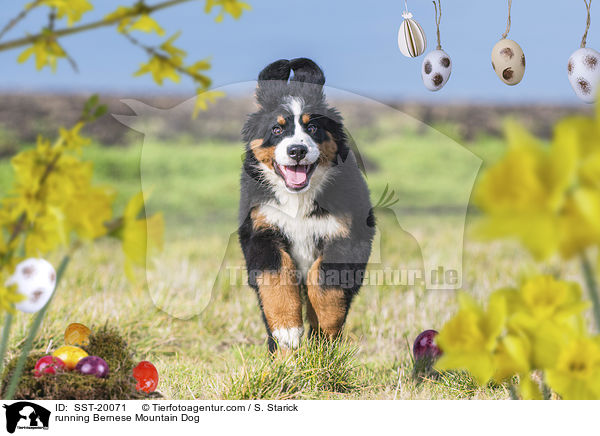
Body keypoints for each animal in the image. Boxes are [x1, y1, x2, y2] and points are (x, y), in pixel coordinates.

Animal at [239, 58, 376, 352]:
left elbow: (324, 282)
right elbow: (276, 276)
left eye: (312, 128)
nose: (297, 151)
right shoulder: (261, 229)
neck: (298, 199)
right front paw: (287, 331)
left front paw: (324, 337)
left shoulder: (346, 234)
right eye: (277, 129)